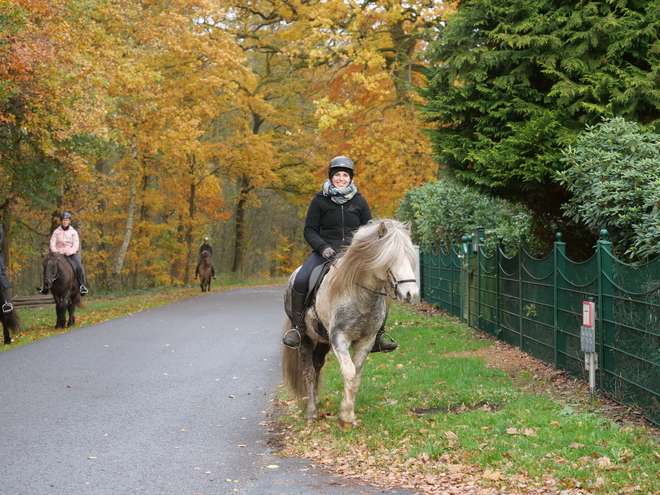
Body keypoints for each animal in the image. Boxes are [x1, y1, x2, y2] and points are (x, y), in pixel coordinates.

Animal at [282, 219, 418, 432]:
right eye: (389, 258)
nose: (411, 293)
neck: (361, 296)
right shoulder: (340, 339)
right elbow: (349, 372)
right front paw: (344, 419)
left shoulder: (366, 342)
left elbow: (357, 377)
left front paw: (348, 416)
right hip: (304, 339)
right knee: (309, 372)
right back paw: (311, 412)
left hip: (323, 341)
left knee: (317, 364)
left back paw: (316, 400)